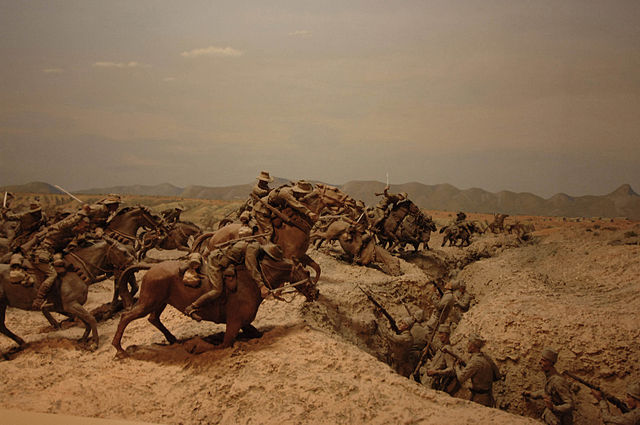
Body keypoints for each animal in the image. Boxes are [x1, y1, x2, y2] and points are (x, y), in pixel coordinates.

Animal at [113, 255, 318, 358]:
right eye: (307, 272)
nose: (315, 293)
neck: (252, 281)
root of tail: (150, 268)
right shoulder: (234, 324)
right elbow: (223, 345)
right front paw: (198, 346)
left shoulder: (244, 324)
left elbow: (255, 333)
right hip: (149, 302)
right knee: (126, 317)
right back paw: (119, 349)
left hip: (159, 302)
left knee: (153, 319)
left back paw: (173, 339)